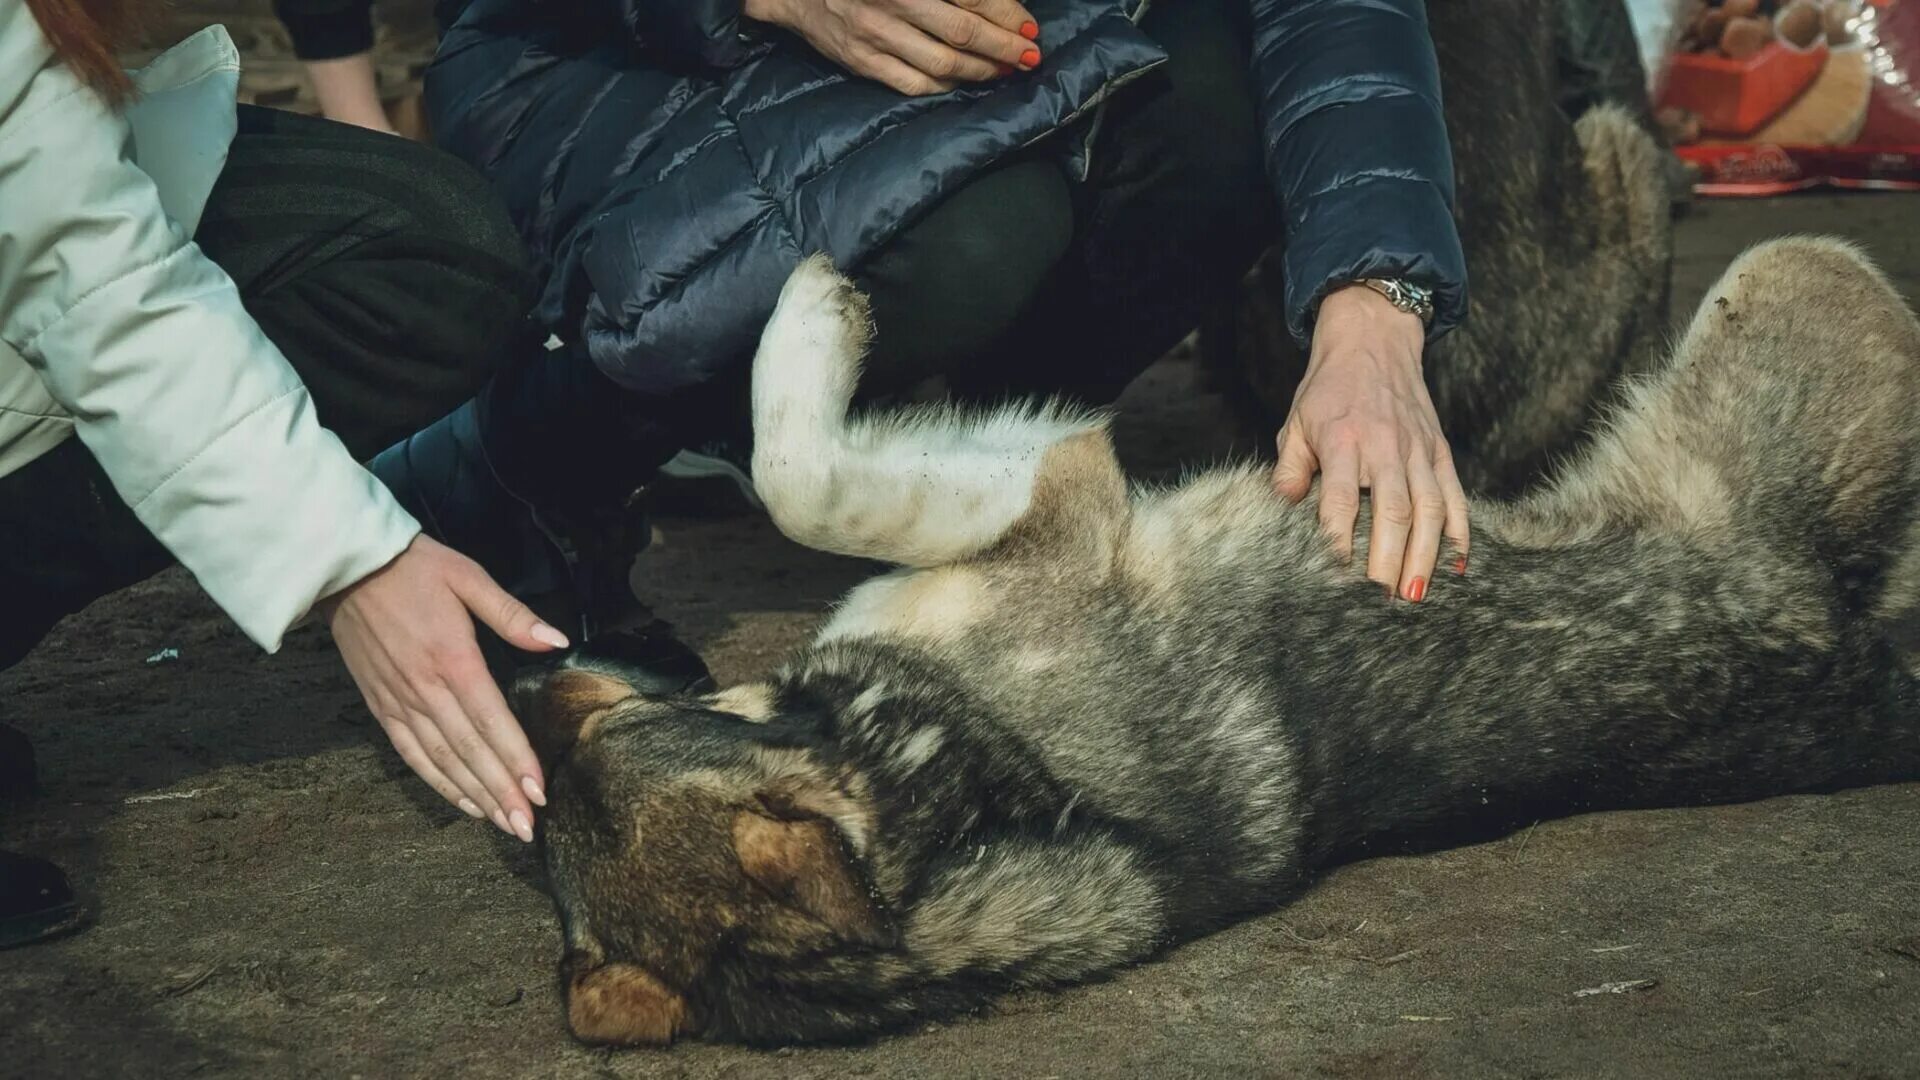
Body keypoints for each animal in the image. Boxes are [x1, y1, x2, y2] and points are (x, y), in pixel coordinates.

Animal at [510, 235, 1920, 1045]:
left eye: (620, 719)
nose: (523, 685)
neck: (935, 770)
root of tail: (1843, 634)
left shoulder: (1060, 494)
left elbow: (797, 469)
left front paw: (812, 311)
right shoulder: (1053, 502)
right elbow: (797, 471)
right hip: (1803, 269)